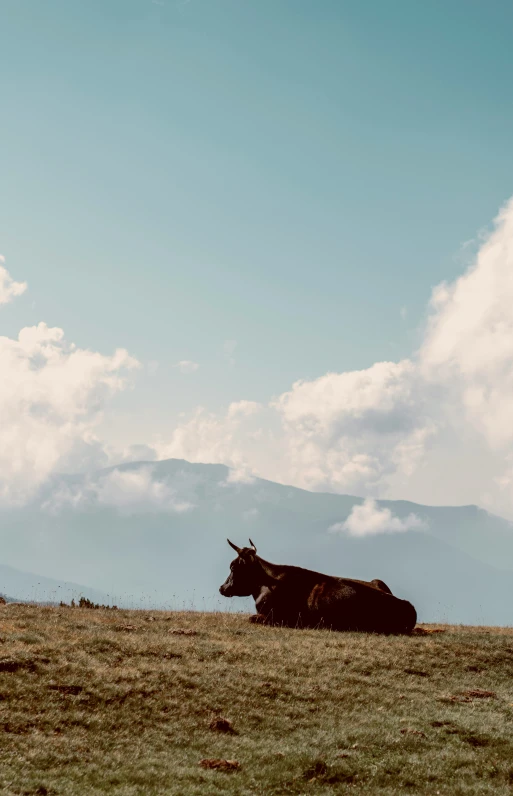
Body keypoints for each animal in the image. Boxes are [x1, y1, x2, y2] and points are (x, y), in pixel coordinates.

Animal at [219, 540, 416, 636]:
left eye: (233, 567)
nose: (222, 588)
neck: (266, 584)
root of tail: (407, 605)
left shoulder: (278, 617)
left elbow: (252, 618)